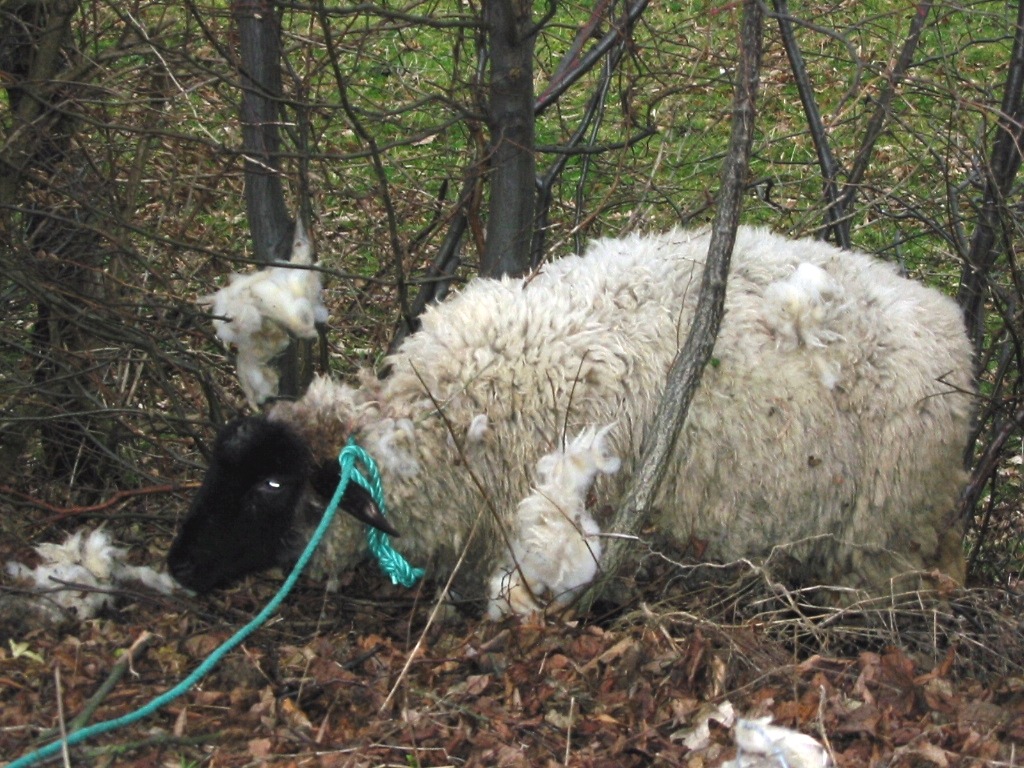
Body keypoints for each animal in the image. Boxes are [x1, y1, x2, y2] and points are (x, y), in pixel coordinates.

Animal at [167, 225, 974, 618]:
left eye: (273, 488)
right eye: (215, 469)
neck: (454, 420)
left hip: (882, 541)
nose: (178, 565)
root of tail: (952, 326)